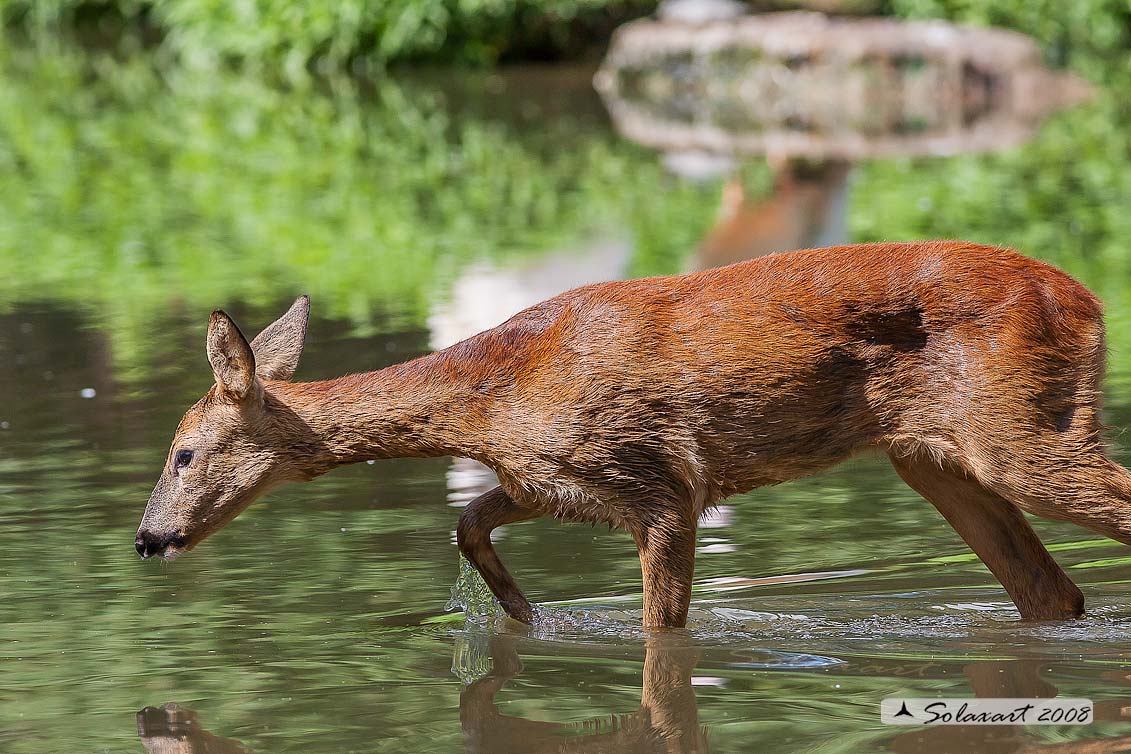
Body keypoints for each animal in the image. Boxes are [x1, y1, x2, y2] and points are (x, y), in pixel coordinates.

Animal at [134, 240, 1131, 624]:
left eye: (183, 454)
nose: (147, 538)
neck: (492, 398)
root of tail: (1088, 303)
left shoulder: (660, 483)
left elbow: (663, 632)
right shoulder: (550, 479)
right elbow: (467, 522)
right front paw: (523, 615)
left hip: (1024, 432)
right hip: (934, 460)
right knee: (1052, 595)